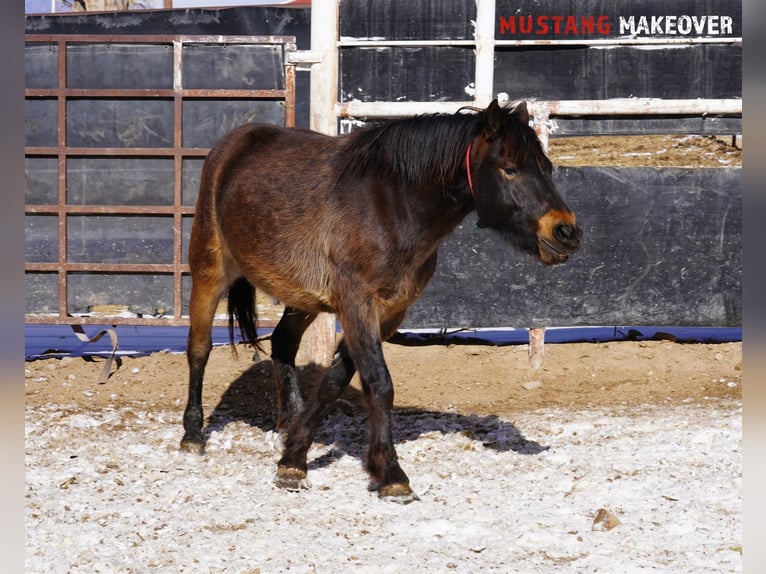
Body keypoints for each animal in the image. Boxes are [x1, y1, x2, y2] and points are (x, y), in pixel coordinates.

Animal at [180, 100, 584, 504]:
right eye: (510, 168)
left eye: (546, 168)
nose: (566, 231)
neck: (391, 206)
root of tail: (233, 143)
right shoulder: (357, 303)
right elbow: (379, 382)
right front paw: (392, 475)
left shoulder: (388, 313)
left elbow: (335, 380)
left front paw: (294, 460)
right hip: (209, 270)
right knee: (199, 349)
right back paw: (192, 436)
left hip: (301, 297)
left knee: (283, 343)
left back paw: (289, 425)